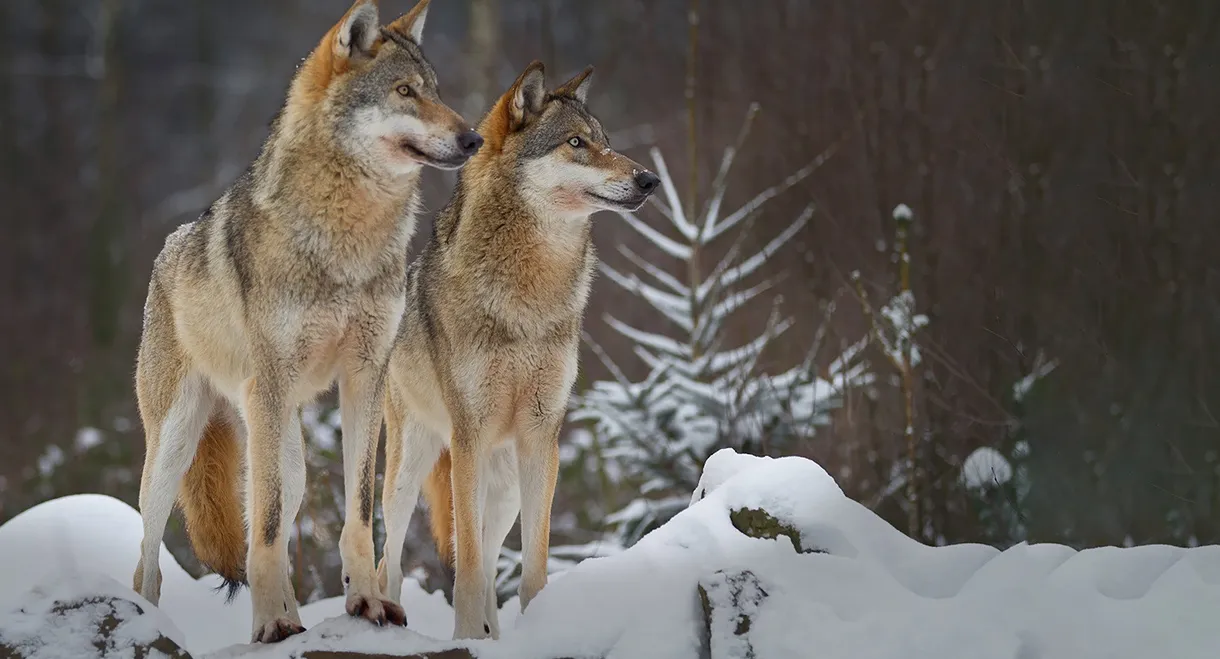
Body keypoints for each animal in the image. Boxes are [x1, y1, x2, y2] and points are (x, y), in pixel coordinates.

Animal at [130, 0, 481, 643]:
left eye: (436, 92)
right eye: (404, 91)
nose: (472, 137)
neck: (347, 239)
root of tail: (167, 250)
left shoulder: (366, 377)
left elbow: (358, 515)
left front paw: (367, 601)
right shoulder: (271, 381)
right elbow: (266, 529)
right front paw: (270, 620)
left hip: (283, 450)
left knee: (275, 507)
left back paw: (293, 618)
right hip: (176, 445)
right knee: (151, 559)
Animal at [375, 60, 660, 639]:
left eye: (605, 141)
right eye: (575, 143)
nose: (649, 179)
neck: (530, 294)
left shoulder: (542, 437)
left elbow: (531, 565)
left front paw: (538, 628)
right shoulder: (468, 437)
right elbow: (465, 569)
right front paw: (463, 640)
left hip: (503, 487)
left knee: (489, 565)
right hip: (410, 470)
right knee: (389, 556)